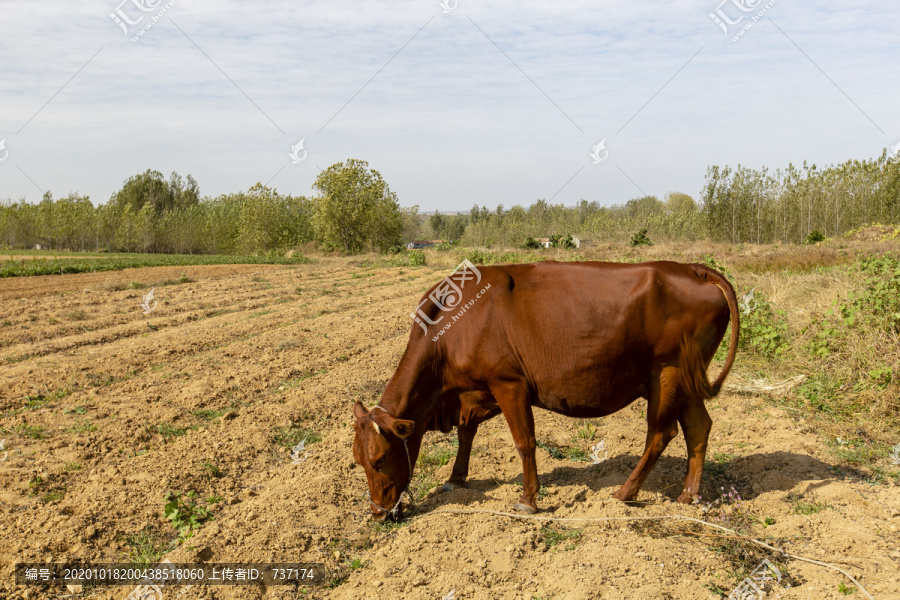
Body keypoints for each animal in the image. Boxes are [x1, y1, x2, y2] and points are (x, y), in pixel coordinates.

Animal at [352, 258, 740, 520]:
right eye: (357, 461)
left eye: (380, 458)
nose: (378, 512)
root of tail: (692, 268)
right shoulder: (471, 393)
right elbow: (466, 434)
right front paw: (456, 479)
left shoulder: (509, 384)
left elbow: (524, 443)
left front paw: (528, 500)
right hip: (687, 379)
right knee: (698, 427)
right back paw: (688, 497)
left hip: (667, 375)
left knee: (661, 432)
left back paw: (625, 493)